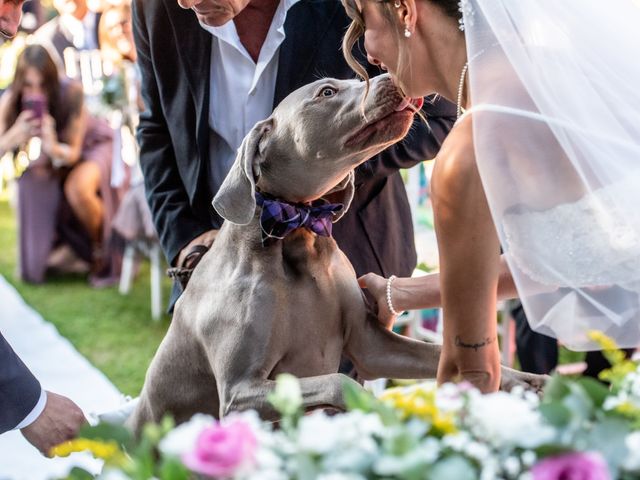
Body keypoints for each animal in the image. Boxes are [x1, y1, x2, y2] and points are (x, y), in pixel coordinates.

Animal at [131, 76, 544, 432]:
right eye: (327, 91)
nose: (392, 76)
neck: (299, 234)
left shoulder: (371, 344)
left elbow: (435, 352)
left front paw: (524, 380)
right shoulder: (239, 390)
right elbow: (338, 382)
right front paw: (379, 409)